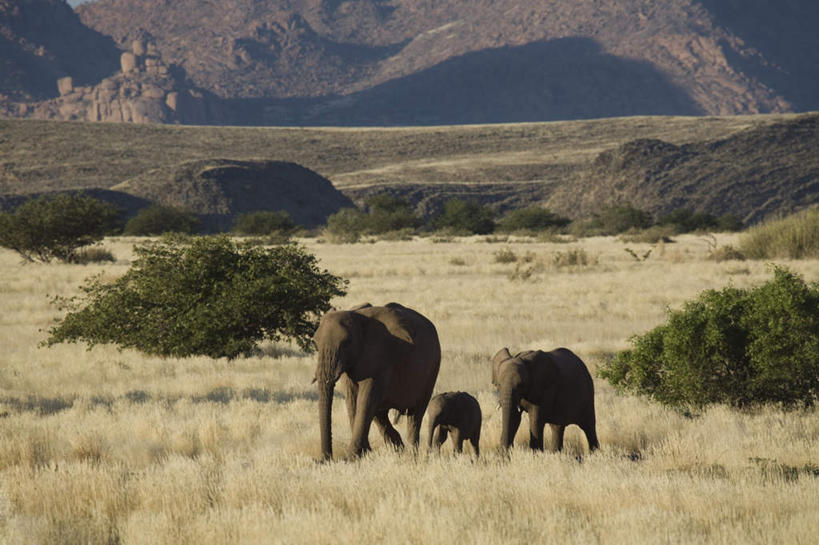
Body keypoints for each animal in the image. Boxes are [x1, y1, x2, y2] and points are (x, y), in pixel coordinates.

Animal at [314, 302, 442, 460]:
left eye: (346, 343)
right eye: (315, 343)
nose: (326, 459)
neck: (358, 318)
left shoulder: (379, 358)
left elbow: (365, 399)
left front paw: (354, 457)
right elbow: (353, 399)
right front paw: (363, 454)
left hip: (432, 368)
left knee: (415, 415)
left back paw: (412, 455)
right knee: (380, 413)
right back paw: (398, 449)